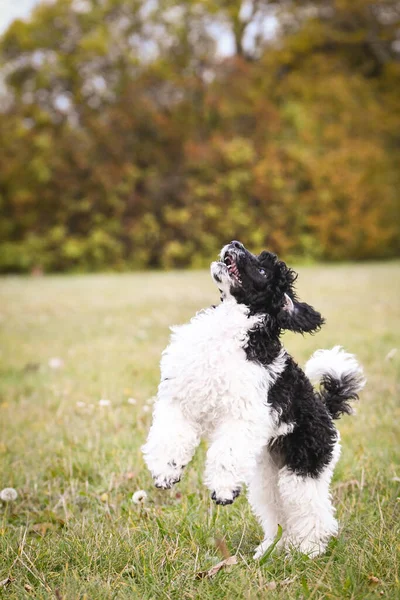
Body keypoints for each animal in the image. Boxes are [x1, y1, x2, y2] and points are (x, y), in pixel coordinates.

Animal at [141, 240, 366, 556]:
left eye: (262, 270)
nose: (235, 243)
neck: (229, 331)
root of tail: (325, 410)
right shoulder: (180, 401)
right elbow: (168, 439)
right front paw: (165, 472)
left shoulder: (244, 416)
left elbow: (225, 453)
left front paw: (223, 490)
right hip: (268, 476)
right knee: (277, 512)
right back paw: (272, 548)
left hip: (304, 467)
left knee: (313, 512)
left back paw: (309, 549)